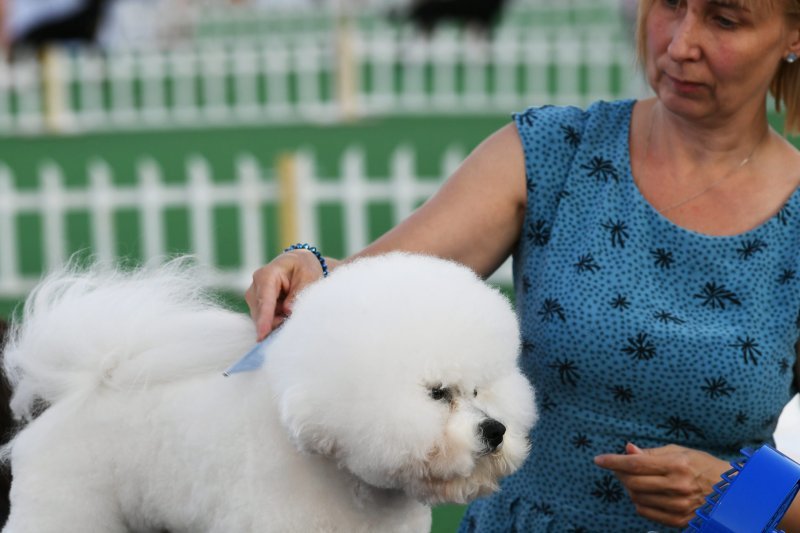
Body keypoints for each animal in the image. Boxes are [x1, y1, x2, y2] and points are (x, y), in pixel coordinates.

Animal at [3, 251, 536, 528]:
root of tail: (87, 385)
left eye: (480, 391)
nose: (495, 431)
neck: (342, 476)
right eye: (438, 393)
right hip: (65, 506)